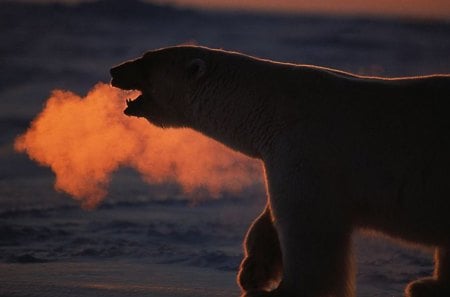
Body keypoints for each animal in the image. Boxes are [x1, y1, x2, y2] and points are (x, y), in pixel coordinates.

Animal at [110, 44, 450, 296]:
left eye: (146, 60)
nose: (114, 70)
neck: (271, 109)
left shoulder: (308, 150)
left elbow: (307, 225)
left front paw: (283, 290)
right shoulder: (284, 159)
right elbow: (271, 217)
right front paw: (253, 271)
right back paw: (427, 285)